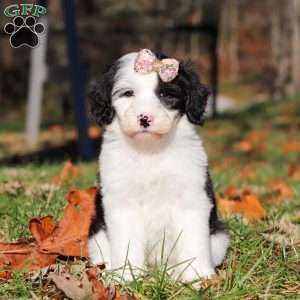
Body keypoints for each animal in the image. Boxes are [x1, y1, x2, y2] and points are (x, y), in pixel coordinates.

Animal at [88, 49, 229, 284]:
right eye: (128, 93)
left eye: (166, 95)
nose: (145, 119)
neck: (150, 151)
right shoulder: (122, 202)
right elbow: (127, 241)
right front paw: (126, 276)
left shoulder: (191, 199)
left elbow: (193, 240)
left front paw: (197, 276)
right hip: (96, 236)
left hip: (219, 236)